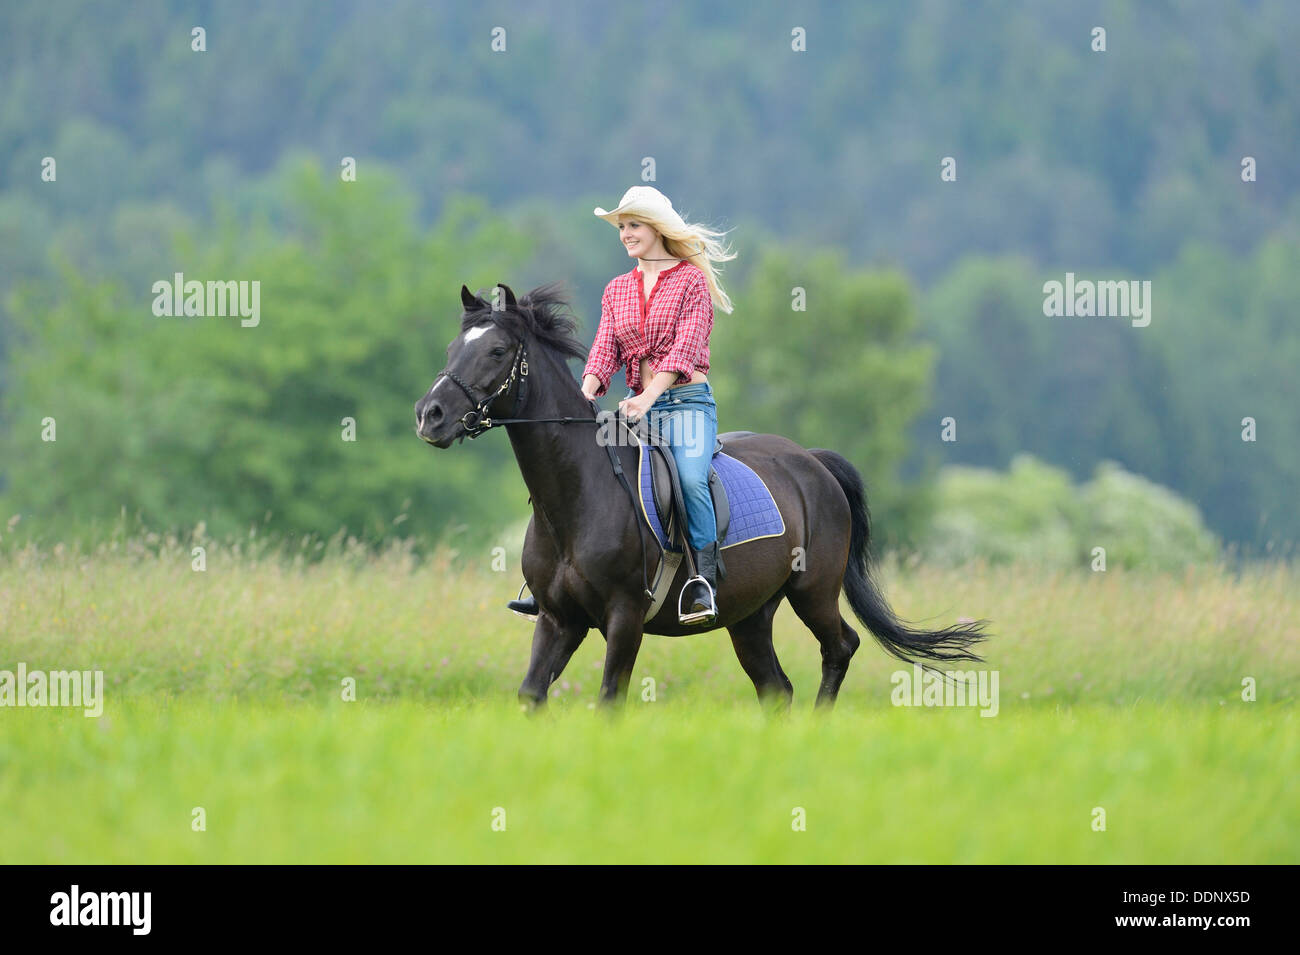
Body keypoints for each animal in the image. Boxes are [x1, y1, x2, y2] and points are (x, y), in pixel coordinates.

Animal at [414, 281, 989, 710]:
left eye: (496, 351)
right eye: (450, 350)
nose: (429, 416)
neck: (577, 499)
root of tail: (810, 461)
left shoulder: (624, 617)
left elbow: (609, 699)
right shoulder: (559, 619)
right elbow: (532, 694)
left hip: (814, 591)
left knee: (840, 648)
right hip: (750, 615)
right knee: (776, 689)